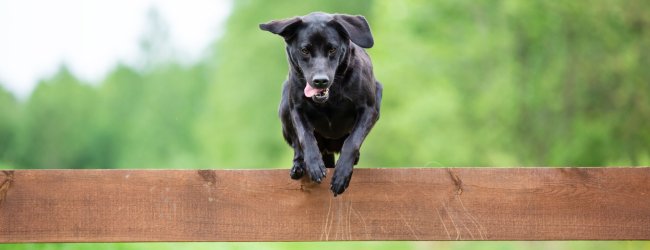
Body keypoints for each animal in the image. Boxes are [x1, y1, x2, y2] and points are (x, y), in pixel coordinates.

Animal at [258, 11, 380, 196]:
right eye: (305, 50)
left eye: (332, 49)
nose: (320, 81)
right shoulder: (296, 109)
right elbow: (305, 137)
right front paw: (314, 165)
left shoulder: (369, 109)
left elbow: (352, 141)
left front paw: (341, 175)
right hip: (285, 103)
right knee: (297, 145)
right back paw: (299, 166)